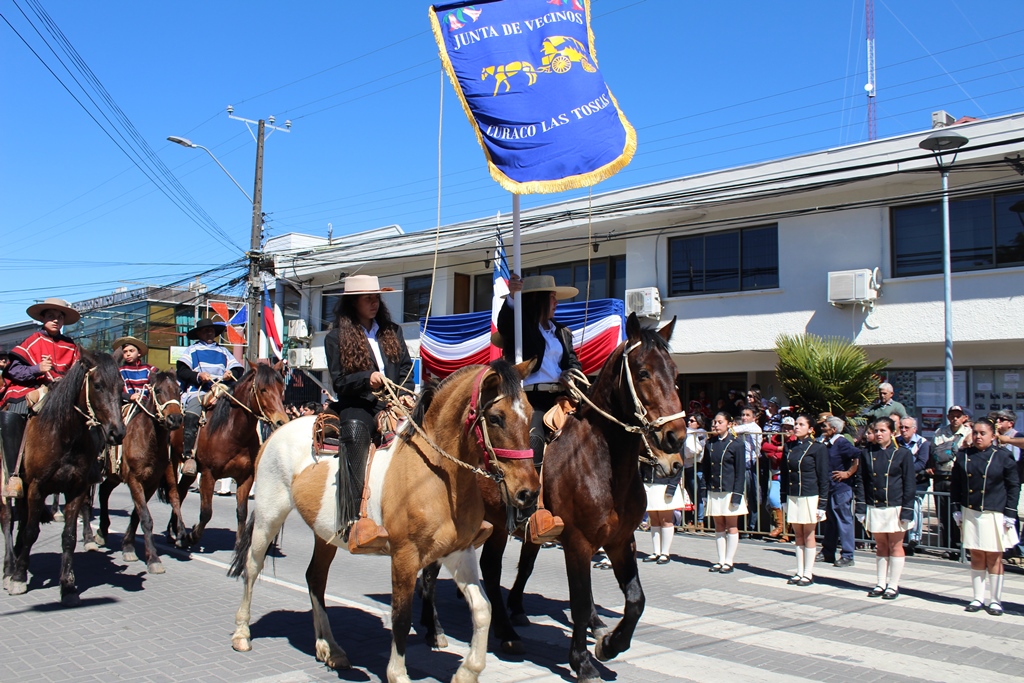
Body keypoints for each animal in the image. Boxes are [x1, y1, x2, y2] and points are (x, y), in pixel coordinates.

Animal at [2, 351, 126, 605]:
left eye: (121, 387)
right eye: (97, 385)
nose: (117, 433)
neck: (64, 434)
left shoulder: (76, 488)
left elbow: (68, 536)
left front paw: (68, 585)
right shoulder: (37, 488)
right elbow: (31, 531)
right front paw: (19, 577)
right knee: (8, 519)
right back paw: (9, 568)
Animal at [95, 372, 184, 574]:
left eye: (178, 389)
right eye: (158, 390)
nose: (175, 419)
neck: (148, 439)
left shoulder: (150, 483)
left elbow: (138, 514)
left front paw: (128, 547)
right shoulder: (134, 480)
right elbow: (145, 518)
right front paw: (154, 559)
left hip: (114, 476)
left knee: (104, 491)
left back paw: (102, 531)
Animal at [167, 360, 288, 551]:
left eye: (281, 389)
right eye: (262, 389)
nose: (281, 421)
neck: (232, 433)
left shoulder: (246, 477)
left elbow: (242, 512)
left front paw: (238, 544)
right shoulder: (208, 475)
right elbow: (206, 512)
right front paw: (192, 536)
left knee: (181, 491)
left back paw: (175, 531)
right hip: (174, 460)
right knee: (175, 492)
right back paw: (175, 534)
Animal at [228, 359, 541, 683]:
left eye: (530, 413)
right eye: (495, 418)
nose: (529, 493)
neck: (437, 474)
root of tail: (278, 430)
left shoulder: (458, 551)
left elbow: (482, 609)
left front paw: (467, 671)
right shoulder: (405, 556)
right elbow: (400, 616)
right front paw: (398, 673)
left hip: (325, 534)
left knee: (315, 578)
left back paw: (330, 648)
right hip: (268, 515)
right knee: (252, 566)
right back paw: (242, 633)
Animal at [421, 314, 687, 682]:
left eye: (675, 374)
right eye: (644, 372)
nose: (676, 439)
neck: (602, 462)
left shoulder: (620, 541)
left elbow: (636, 600)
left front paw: (609, 644)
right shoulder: (577, 542)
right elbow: (580, 601)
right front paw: (583, 662)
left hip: (497, 525)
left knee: (489, 568)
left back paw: (504, 630)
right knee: (436, 571)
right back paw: (435, 630)